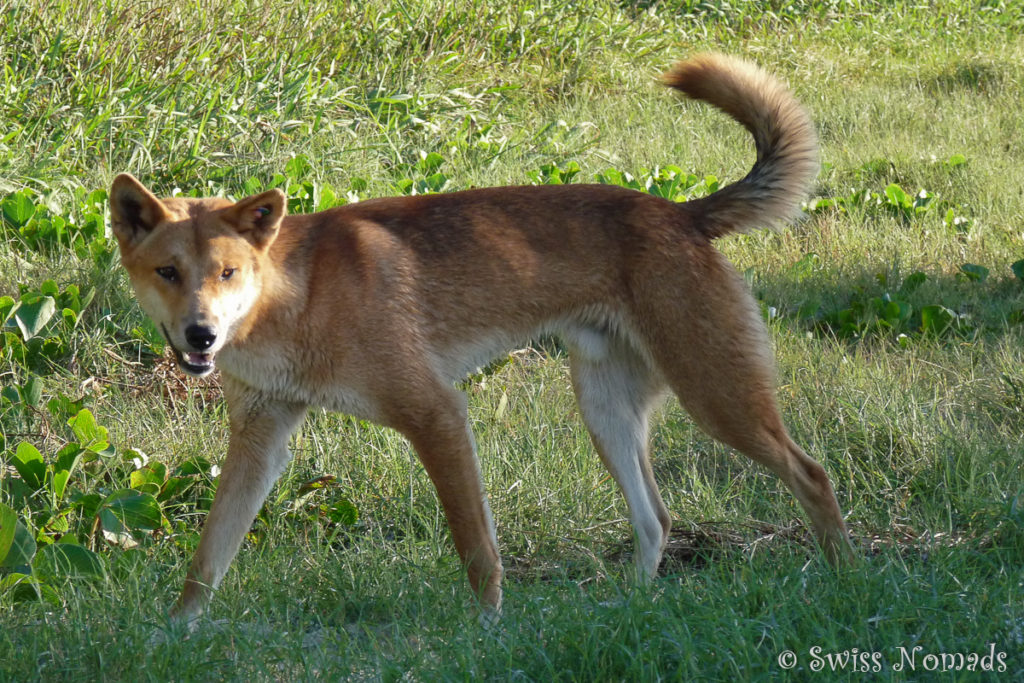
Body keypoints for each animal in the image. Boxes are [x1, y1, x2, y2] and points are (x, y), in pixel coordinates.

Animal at [108, 52, 856, 626]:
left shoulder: (437, 413)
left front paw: (490, 629)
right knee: (657, 520)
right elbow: (208, 558)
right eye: (169, 272)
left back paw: (846, 577)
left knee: (812, 475)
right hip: (607, 413)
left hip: (716, 396)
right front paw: (176, 633)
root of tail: (683, 214)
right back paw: (631, 608)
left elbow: (476, 548)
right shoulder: (260, 440)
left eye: (228, 272)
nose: (201, 334)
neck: (299, 298)